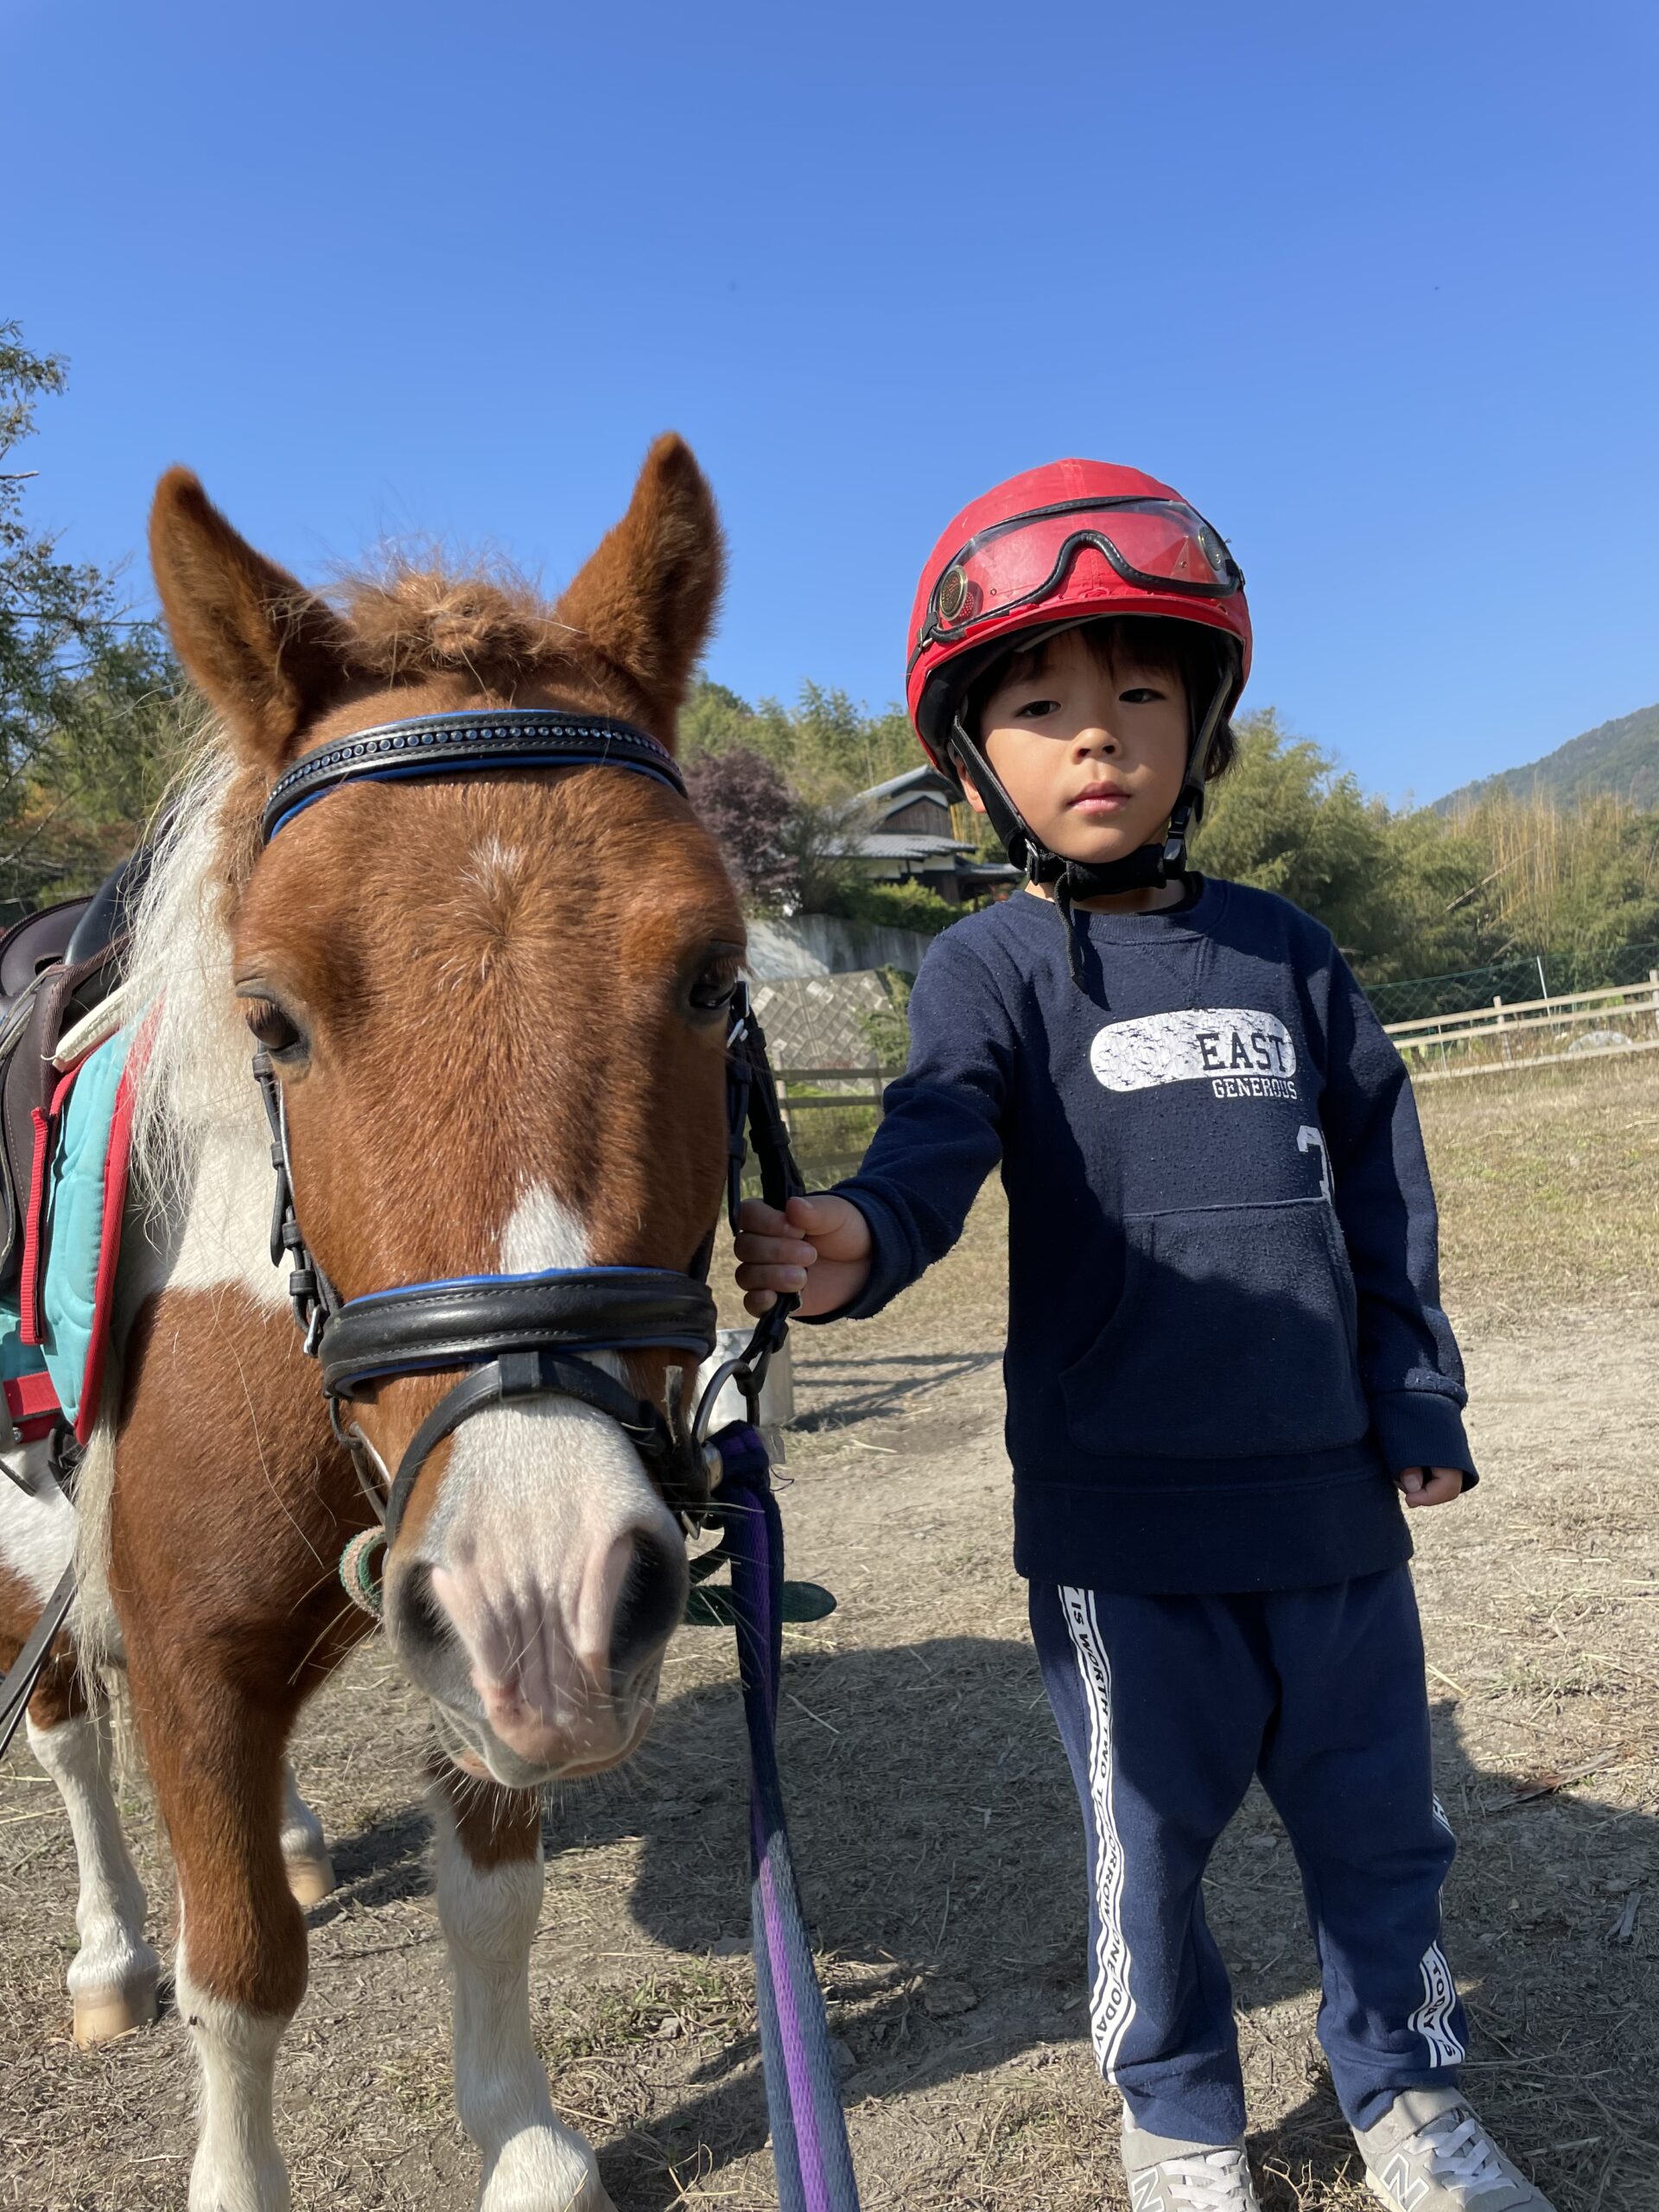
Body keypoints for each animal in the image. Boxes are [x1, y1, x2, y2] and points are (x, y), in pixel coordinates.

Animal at [0, 435, 739, 2212]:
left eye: (711, 976)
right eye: (269, 1016)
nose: (550, 1594)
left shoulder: (467, 1620)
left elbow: (494, 1896)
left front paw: (525, 2143)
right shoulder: (198, 1657)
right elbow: (241, 1974)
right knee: (70, 1752)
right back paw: (107, 1954)